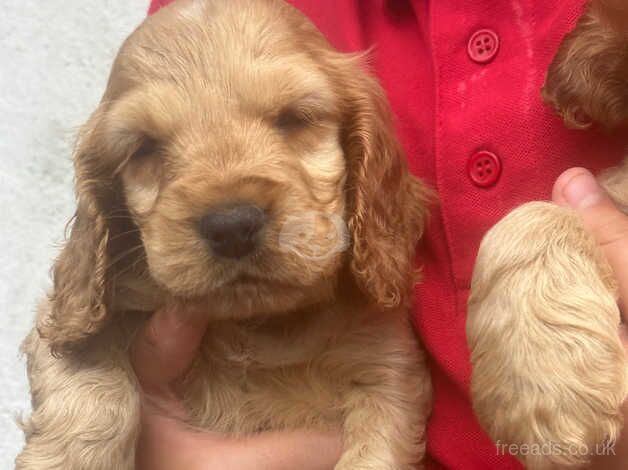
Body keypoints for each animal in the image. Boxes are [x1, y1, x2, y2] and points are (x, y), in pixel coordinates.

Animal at [17, 0, 434, 470]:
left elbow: (376, 447)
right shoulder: (78, 315)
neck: (255, 324)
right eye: (144, 147)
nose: (231, 226)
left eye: (295, 118)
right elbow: (90, 373)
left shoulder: (387, 365)